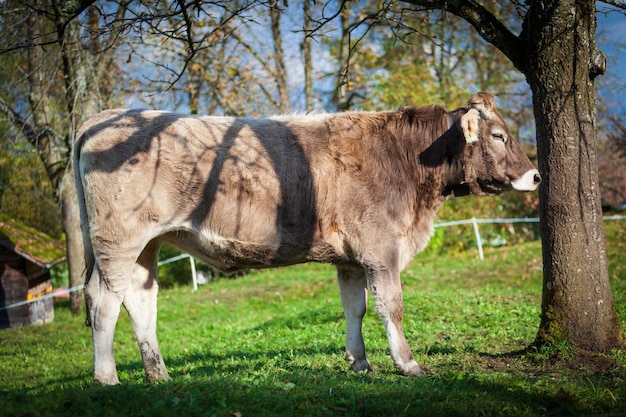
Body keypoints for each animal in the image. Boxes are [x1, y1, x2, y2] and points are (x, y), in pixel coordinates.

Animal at [73, 91, 540, 384]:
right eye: (499, 135)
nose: (535, 176)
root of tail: (99, 119)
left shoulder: (351, 258)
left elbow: (355, 309)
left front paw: (359, 362)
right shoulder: (381, 250)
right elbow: (391, 307)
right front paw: (408, 365)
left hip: (146, 245)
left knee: (139, 302)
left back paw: (158, 374)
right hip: (119, 239)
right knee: (104, 300)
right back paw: (107, 377)